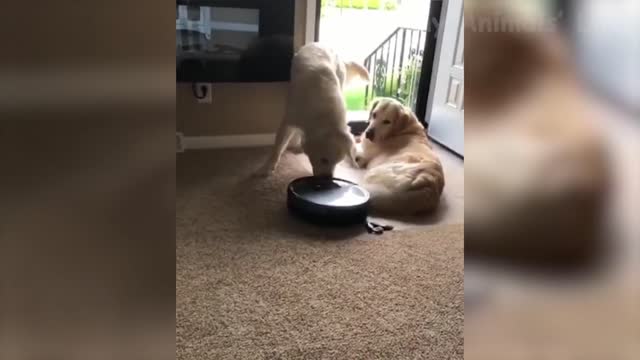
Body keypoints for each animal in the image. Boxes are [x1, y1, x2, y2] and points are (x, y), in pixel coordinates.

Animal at [256, 42, 368, 177]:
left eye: (338, 162)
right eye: (324, 160)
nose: (327, 180)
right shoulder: (288, 120)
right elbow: (278, 147)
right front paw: (267, 167)